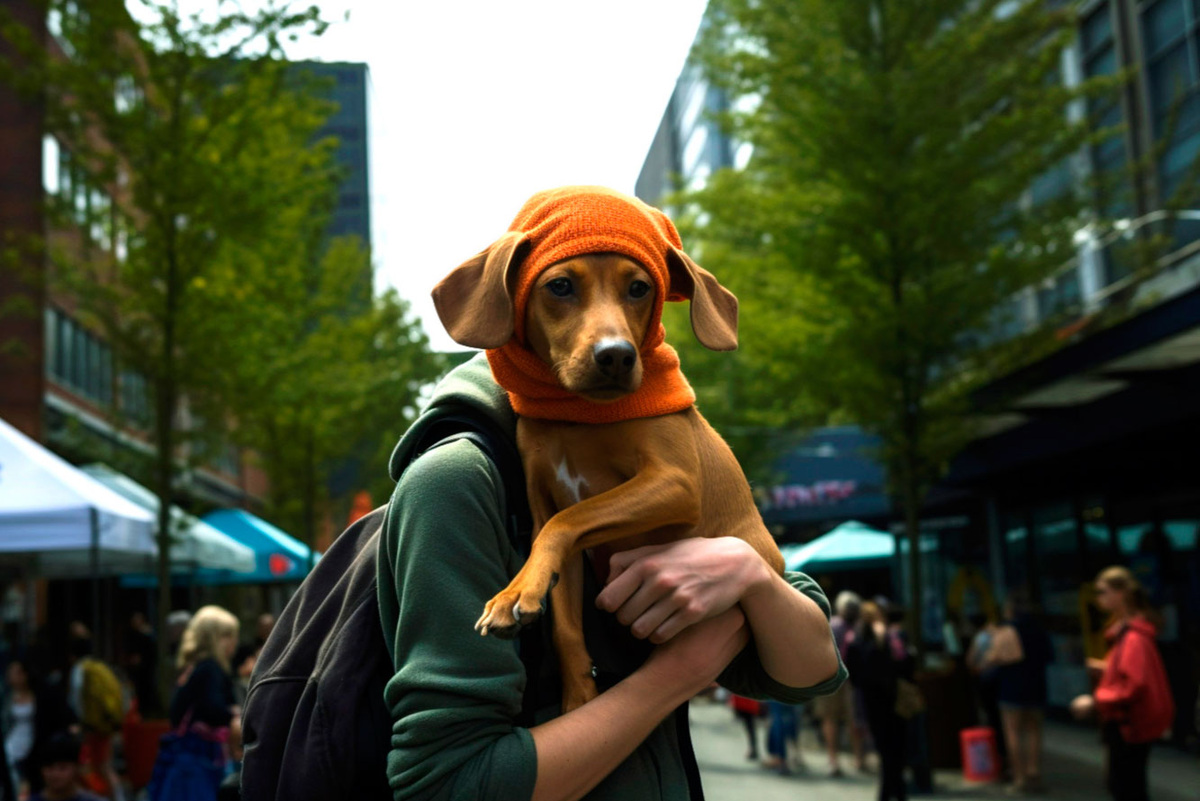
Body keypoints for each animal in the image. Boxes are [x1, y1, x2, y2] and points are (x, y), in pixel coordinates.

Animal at [432, 188, 787, 714]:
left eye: (639, 288)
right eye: (559, 286)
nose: (616, 356)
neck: (579, 420)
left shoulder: (675, 482)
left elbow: (568, 521)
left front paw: (513, 593)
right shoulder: (551, 517)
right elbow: (564, 619)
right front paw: (578, 699)